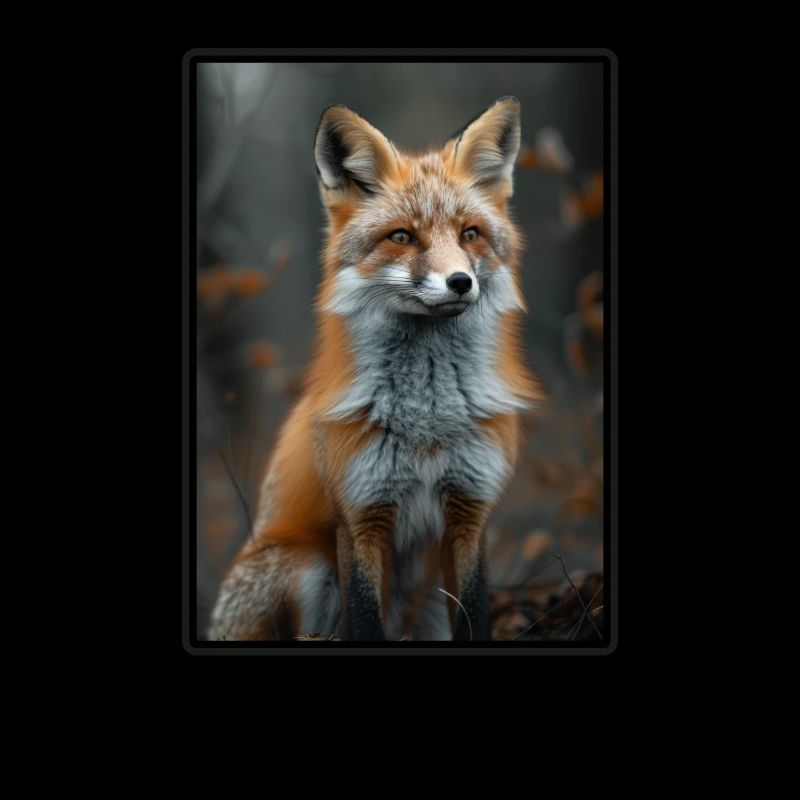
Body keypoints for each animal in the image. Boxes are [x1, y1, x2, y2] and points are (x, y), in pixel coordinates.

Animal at [209, 96, 541, 641]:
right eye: (402, 237)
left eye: (469, 234)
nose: (460, 282)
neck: (428, 420)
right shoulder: (360, 514)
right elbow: (364, 618)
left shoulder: (470, 510)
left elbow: (474, 613)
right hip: (305, 565)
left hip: (427, 600)